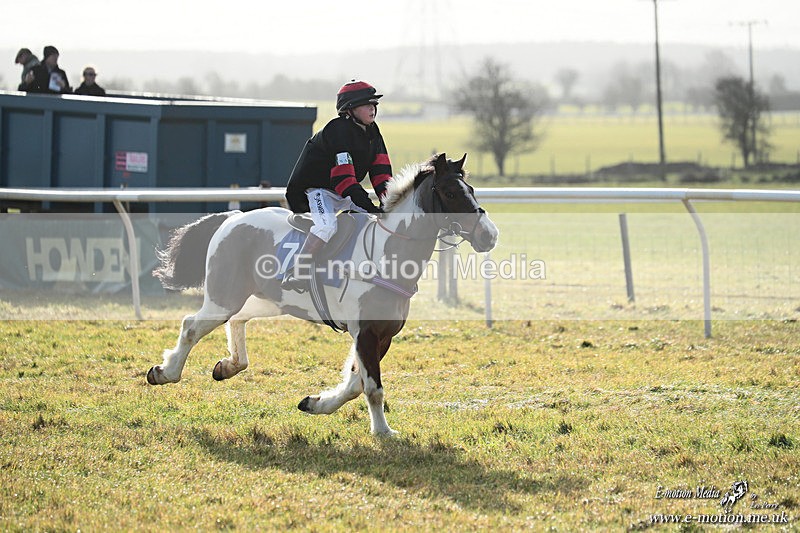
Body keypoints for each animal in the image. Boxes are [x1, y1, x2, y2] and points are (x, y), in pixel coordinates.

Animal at [146, 153, 499, 435]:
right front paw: (383, 432)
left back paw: (229, 365)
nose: (489, 235)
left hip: (263, 301)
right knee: (191, 326)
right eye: (451, 192)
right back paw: (165, 372)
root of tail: (232, 219)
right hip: (224, 297)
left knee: (238, 321)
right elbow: (372, 388)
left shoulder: (382, 335)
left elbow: (356, 384)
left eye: (471, 191)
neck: (386, 255)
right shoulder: (365, 333)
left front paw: (316, 403)